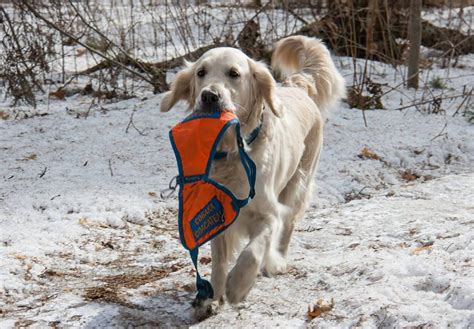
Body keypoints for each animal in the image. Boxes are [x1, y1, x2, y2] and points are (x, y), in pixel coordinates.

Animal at [160, 36, 344, 310]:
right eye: (201, 73)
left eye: (234, 74)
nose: (209, 96)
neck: (233, 153)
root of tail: (299, 86)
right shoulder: (220, 212)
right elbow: (219, 259)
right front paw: (213, 296)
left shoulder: (267, 214)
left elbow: (252, 251)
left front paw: (237, 286)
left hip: (299, 182)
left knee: (288, 224)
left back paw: (277, 261)